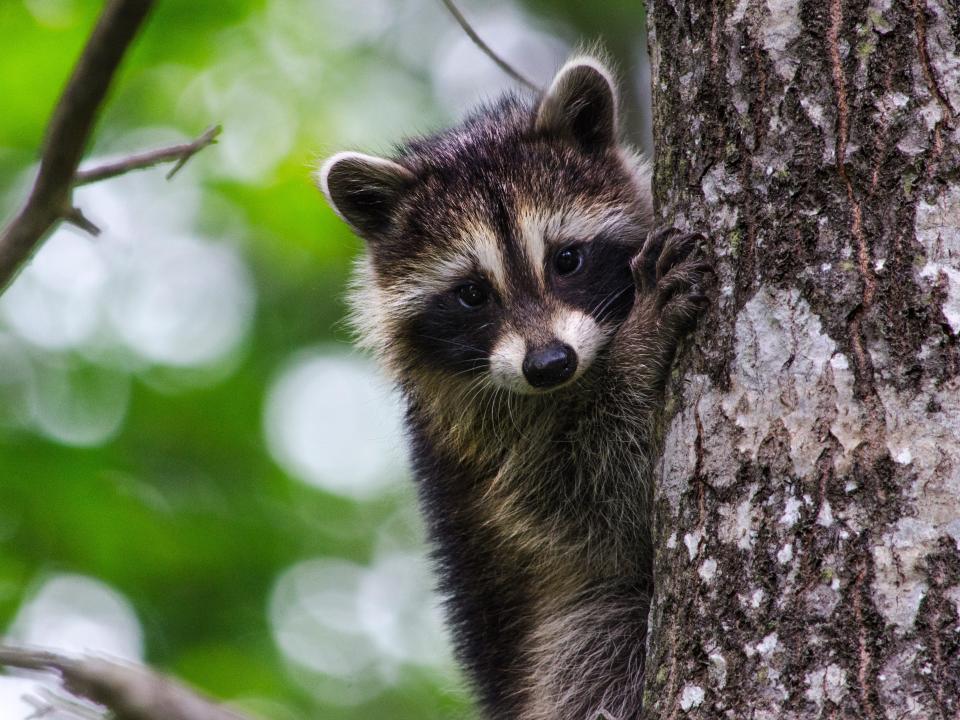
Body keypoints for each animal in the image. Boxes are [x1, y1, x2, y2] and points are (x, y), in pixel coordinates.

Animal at [318, 56, 708, 720]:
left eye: (567, 259)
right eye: (472, 293)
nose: (549, 364)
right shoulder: (488, 440)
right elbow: (598, 500)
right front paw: (638, 348)